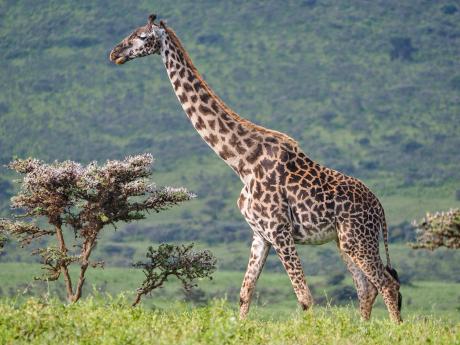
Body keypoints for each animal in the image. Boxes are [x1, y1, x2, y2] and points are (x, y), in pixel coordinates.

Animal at [109, 12, 400, 320]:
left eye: (141, 36)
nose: (114, 53)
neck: (241, 161)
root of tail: (380, 209)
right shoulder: (260, 234)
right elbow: (244, 292)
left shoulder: (280, 230)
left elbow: (305, 297)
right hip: (344, 241)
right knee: (366, 288)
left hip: (358, 239)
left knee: (386, 283)